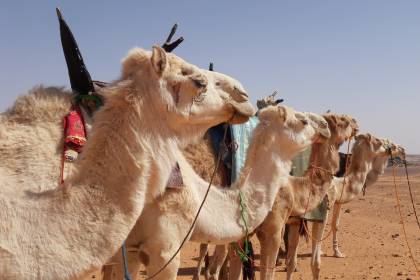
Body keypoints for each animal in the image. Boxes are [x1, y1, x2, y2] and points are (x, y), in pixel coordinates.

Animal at [286, 135, 394, 278]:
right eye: (379, 141)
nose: (390, 148)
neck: (338, 185)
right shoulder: (322, 215)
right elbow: (315, 263)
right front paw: (337, 253)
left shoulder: (296, 220)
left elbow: (291, 263)